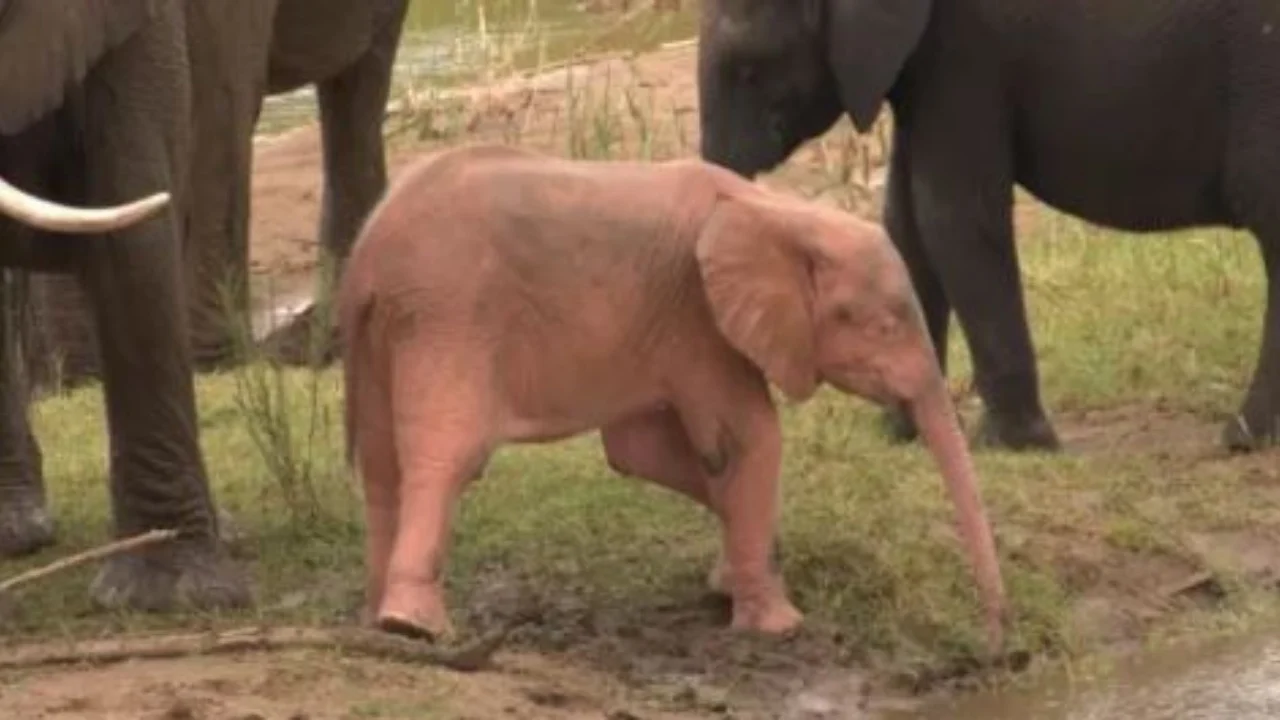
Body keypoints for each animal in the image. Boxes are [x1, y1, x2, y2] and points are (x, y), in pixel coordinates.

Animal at [339, 144, 1007, 651]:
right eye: (883, 325)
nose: (1005, 641)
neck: (779, 211)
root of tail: (366, 255)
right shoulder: (699, 317)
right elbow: (749, 438)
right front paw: (778, 627)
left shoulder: (671, 326)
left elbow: (646, 453)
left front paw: (734, 581)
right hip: (450, 319)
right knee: (446, 456)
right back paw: (413, 628)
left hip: (386, 337)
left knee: (380, 464)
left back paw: (374, 619)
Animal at [695, 0, 1280, 453]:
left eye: (749, 69)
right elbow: (905, 226)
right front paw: (906, 435)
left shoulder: (966, 53)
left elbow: (950, 216)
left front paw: (1010, 446)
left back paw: (1241, 439)